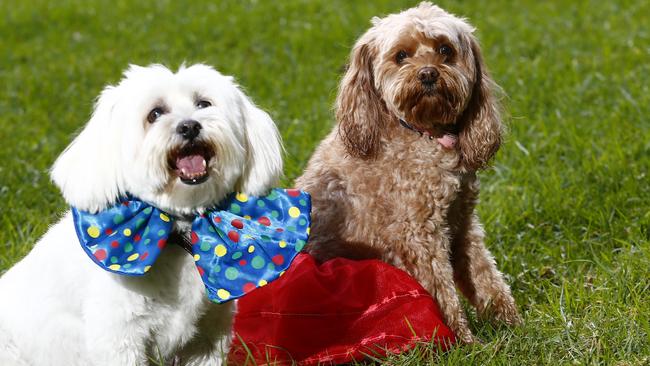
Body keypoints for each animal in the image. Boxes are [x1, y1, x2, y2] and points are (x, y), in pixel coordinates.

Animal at [0, 64, 284, 364]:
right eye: (155, 114)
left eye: (203, 104)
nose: (190, 126)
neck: (175, 236)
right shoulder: (119, 335)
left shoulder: (208, 336)